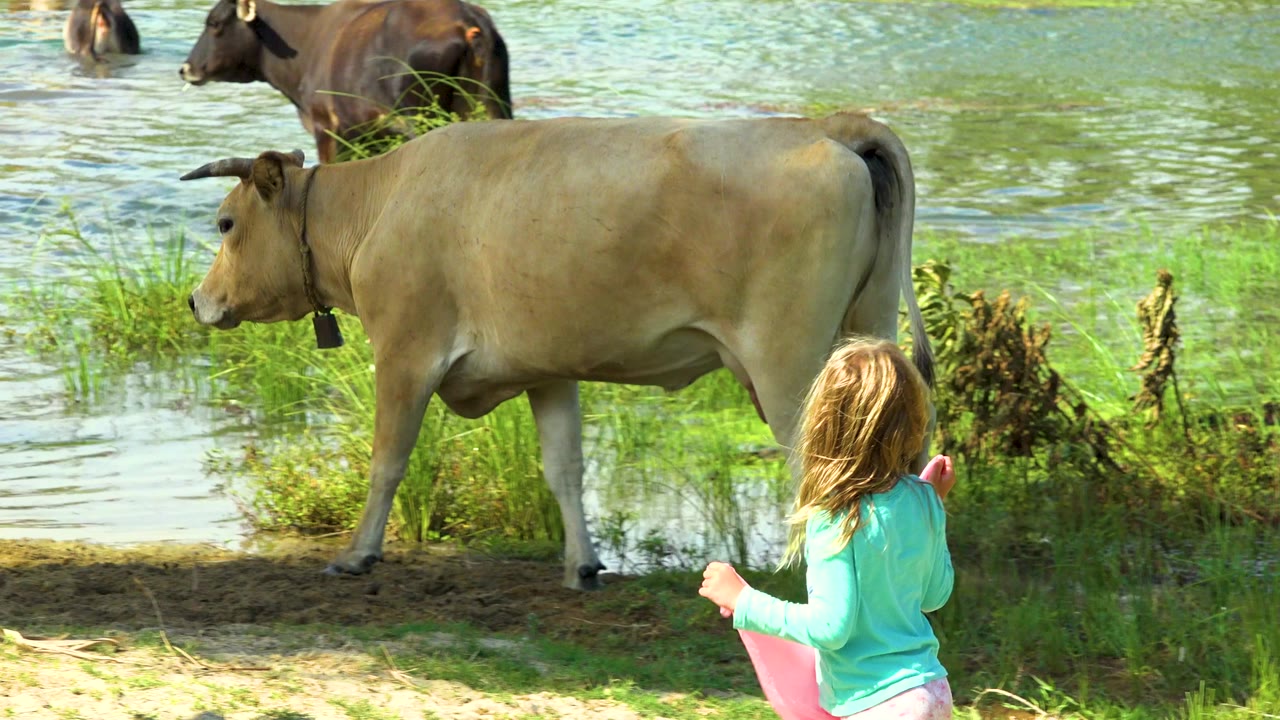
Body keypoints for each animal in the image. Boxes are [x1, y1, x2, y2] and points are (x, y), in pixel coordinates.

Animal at [179, 0, 512, 164]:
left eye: (214, 23)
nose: (186, 68)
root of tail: (468, 21)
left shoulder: (327, 128)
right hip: (492, 105)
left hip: (422, 118)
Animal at [179, 111, 936, 590]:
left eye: (225, 222)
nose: (196, 300)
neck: (377, 204)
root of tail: (827, 125)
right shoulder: (545, 368)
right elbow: (564, 467)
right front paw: (583, 565)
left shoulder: (404, 351)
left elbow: (387, 461)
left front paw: (357, 555)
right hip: (867, 334)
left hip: (788, 363)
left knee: (822, 465)